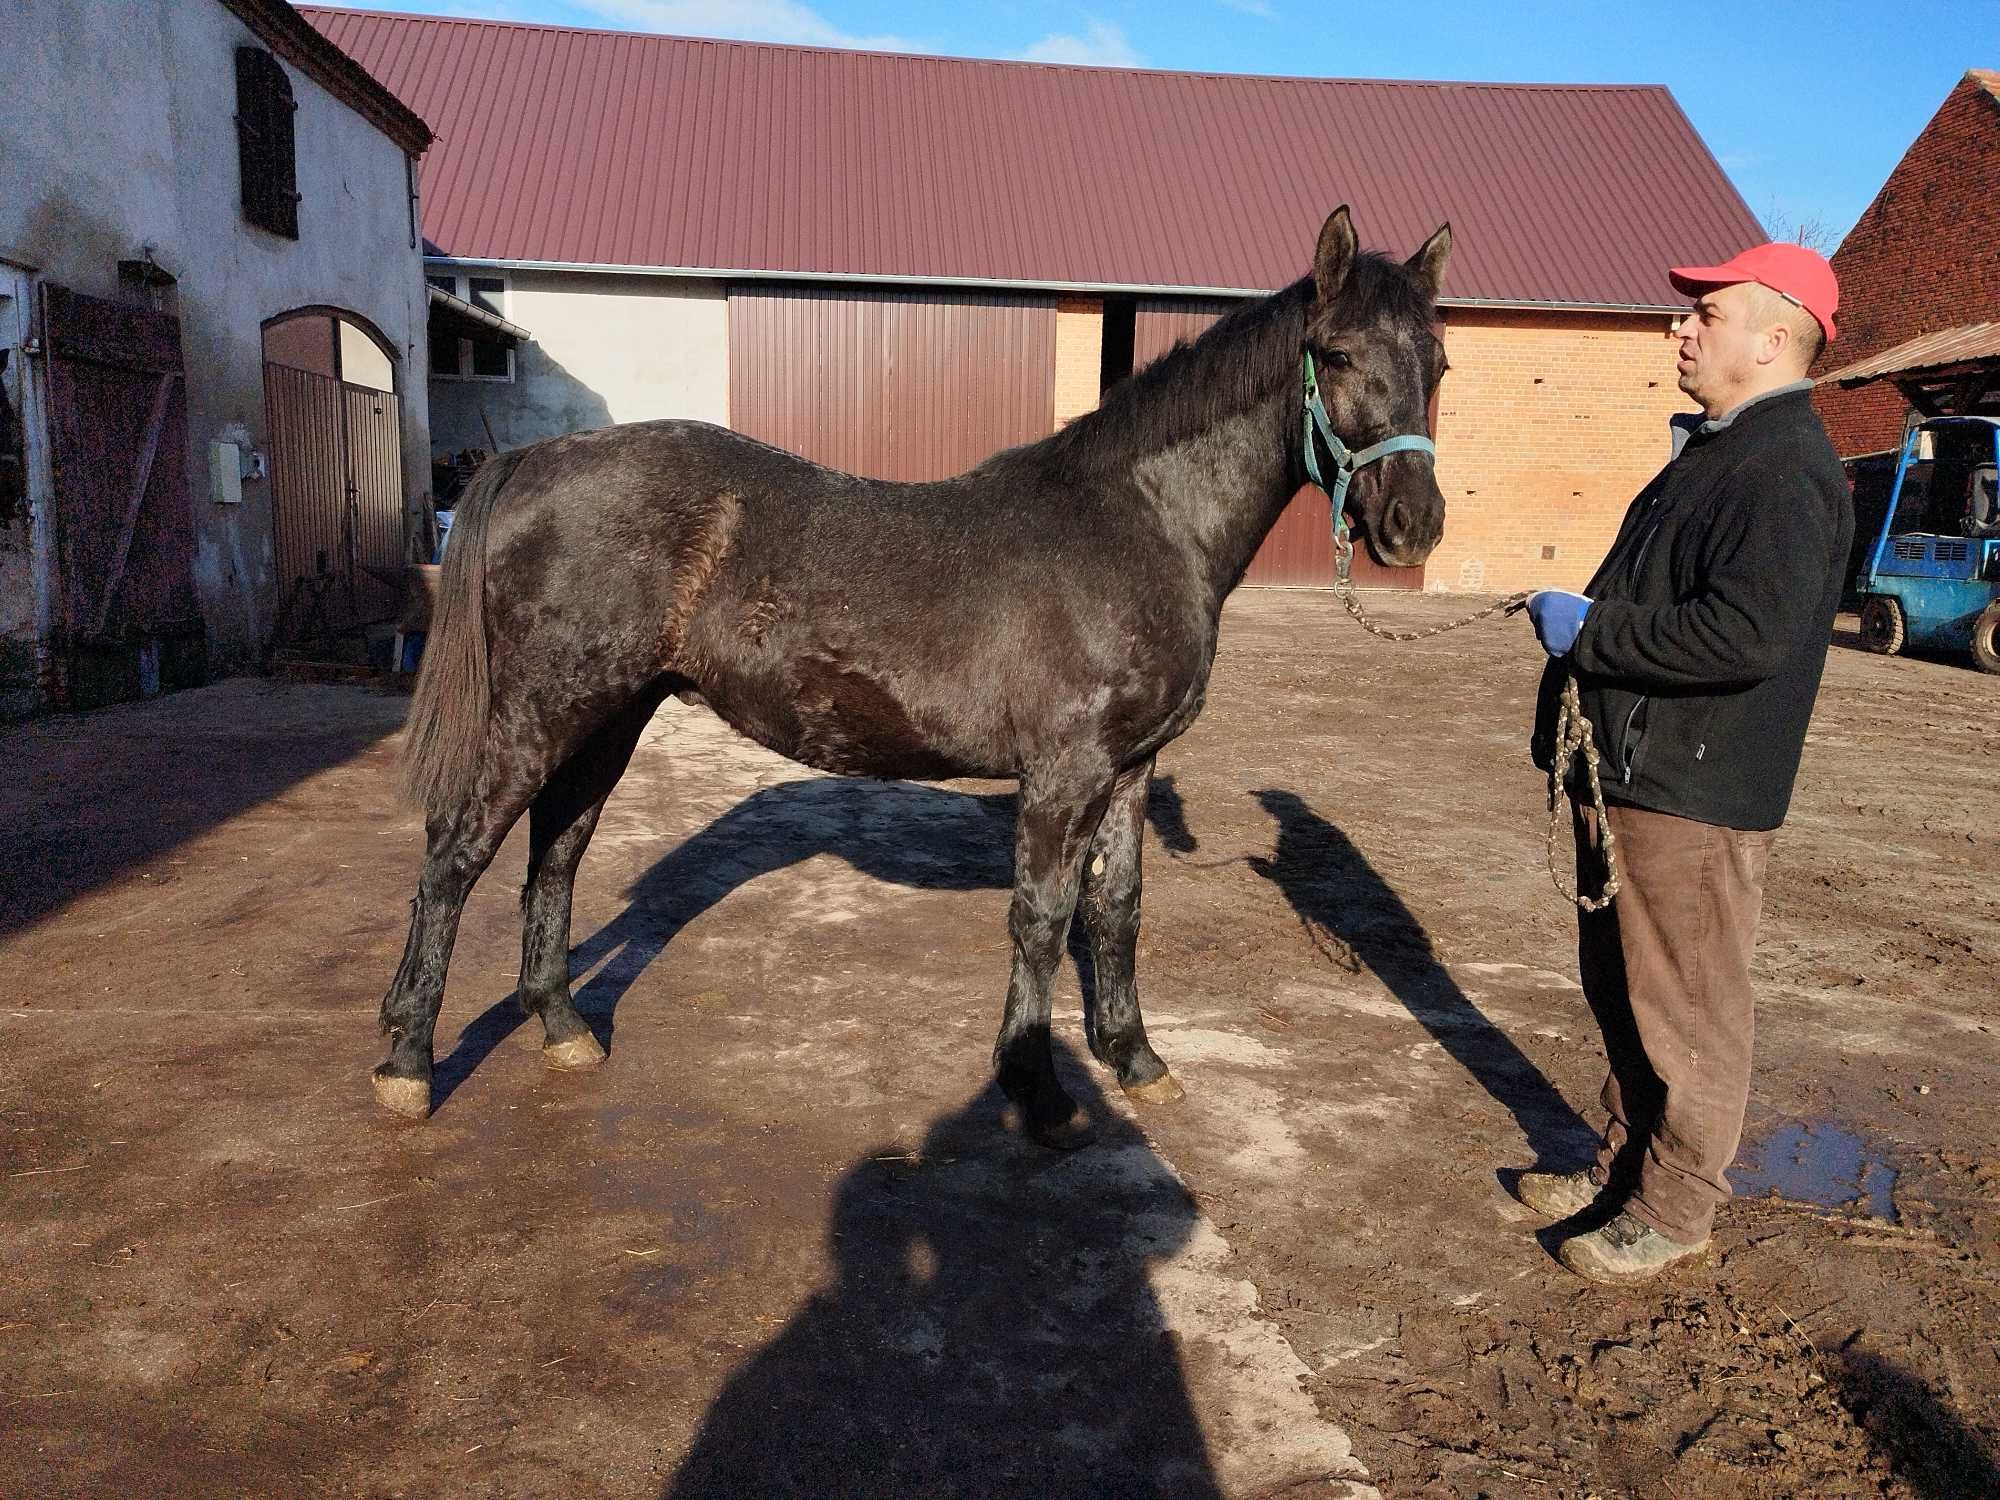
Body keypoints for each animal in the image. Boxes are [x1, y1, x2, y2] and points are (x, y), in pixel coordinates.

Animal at [376, 209, 1456, 1152]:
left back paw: (562, 1028)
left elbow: (1116, 910)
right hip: (543, 710)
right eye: (1339, 354)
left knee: (556, 850)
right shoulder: (1063, 774)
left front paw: (1136, 1060)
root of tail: (534, 457)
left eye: (1437, 364)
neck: (1138, 524)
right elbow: (1041, 919)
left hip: (610, 716)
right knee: (457, 853)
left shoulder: (1128, 770)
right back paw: (406, 1064)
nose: (1414, 525)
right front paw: (1038, 1090)